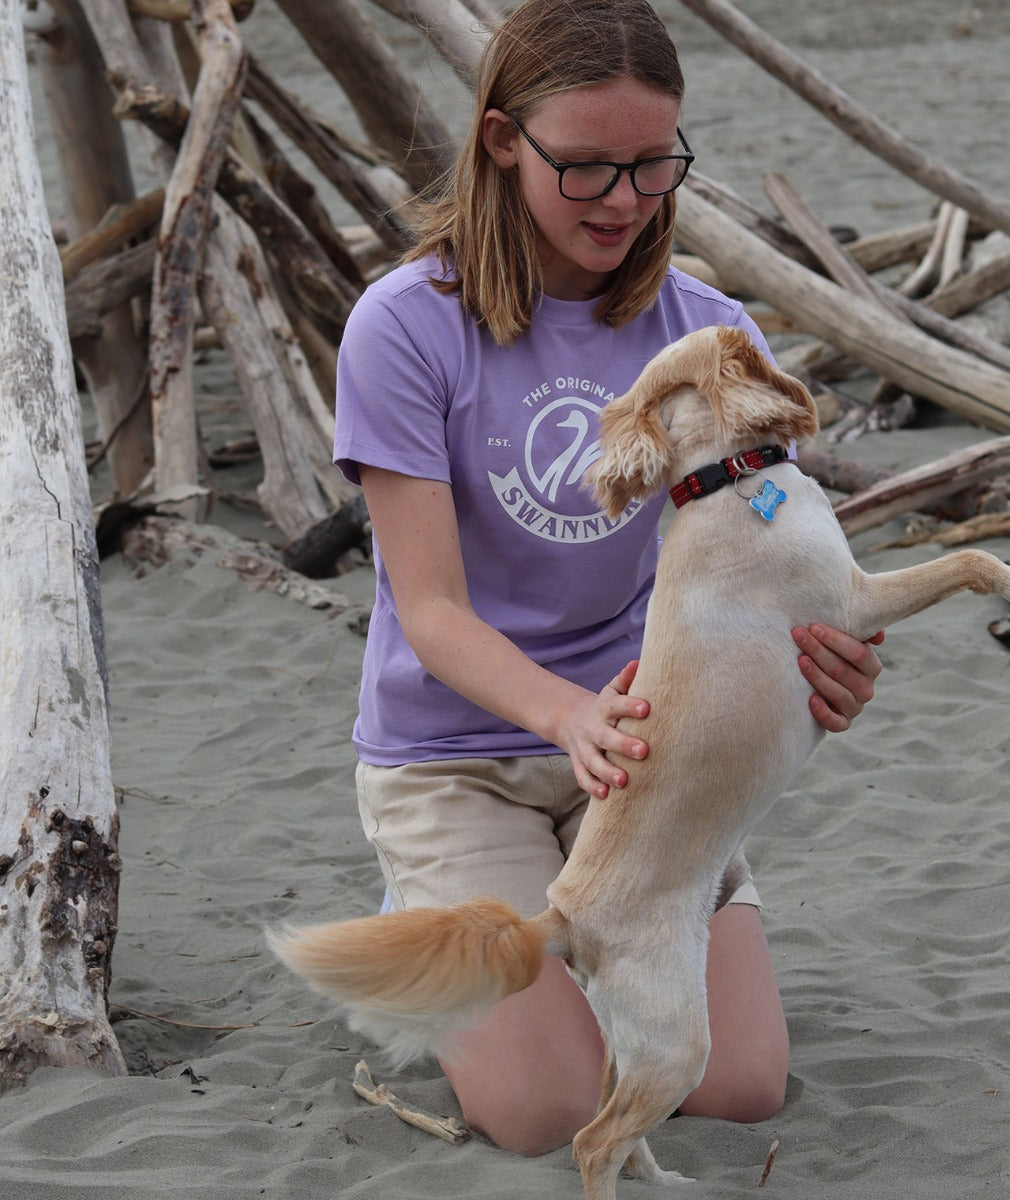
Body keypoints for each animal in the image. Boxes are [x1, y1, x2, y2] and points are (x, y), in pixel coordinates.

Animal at [267, 324, 1007, 1195]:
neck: (723, 485)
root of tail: (563, 919)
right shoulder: (855, 602)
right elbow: (968, 564)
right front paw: (1005, 581)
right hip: (677, 1039)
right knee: (593, 1140)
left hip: (633, 1038)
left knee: (612, 1124)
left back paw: (669, 1183)